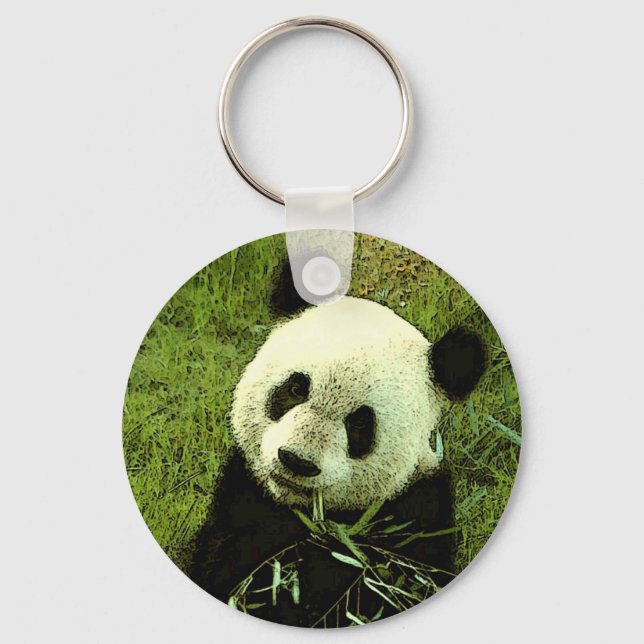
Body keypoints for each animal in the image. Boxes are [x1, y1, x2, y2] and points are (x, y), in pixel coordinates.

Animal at [190, 267, 485, 627]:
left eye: (359, 423)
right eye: (296, 388)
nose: (297, 461)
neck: (316, 519)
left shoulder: (415, 517)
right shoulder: (241, 501)